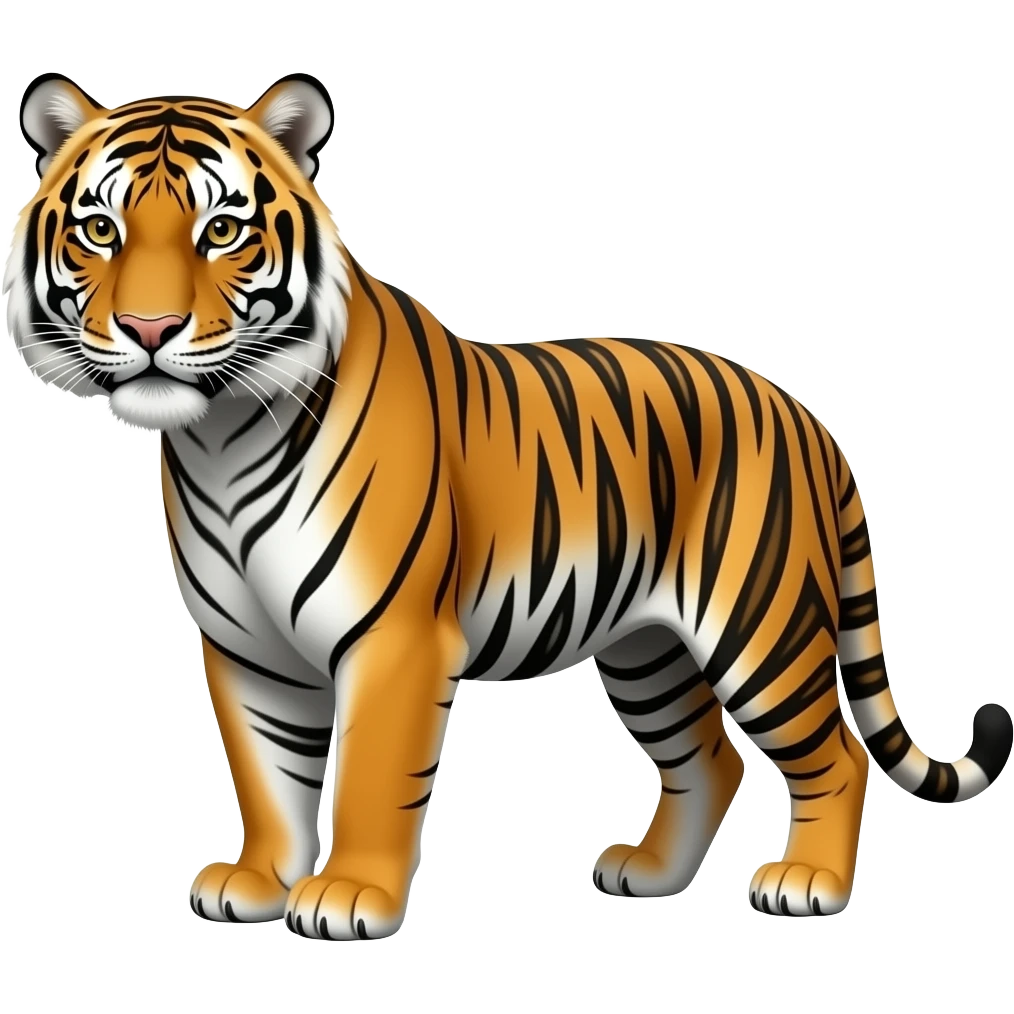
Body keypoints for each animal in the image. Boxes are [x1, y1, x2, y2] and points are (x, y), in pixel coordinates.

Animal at [5, 70, 1012, 940]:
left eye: (220, 230)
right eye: (100, 229)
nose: (149, 330)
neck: (220, 435)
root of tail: (804, 414)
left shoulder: (394, 638)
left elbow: (368, 775)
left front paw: (350, 897)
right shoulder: (247, 648)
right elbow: (267, 774)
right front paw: (257, 882)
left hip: (760, 629)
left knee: (835, 754)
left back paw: (809, 885)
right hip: (646, 649)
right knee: (710, 757)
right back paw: (650, 874)